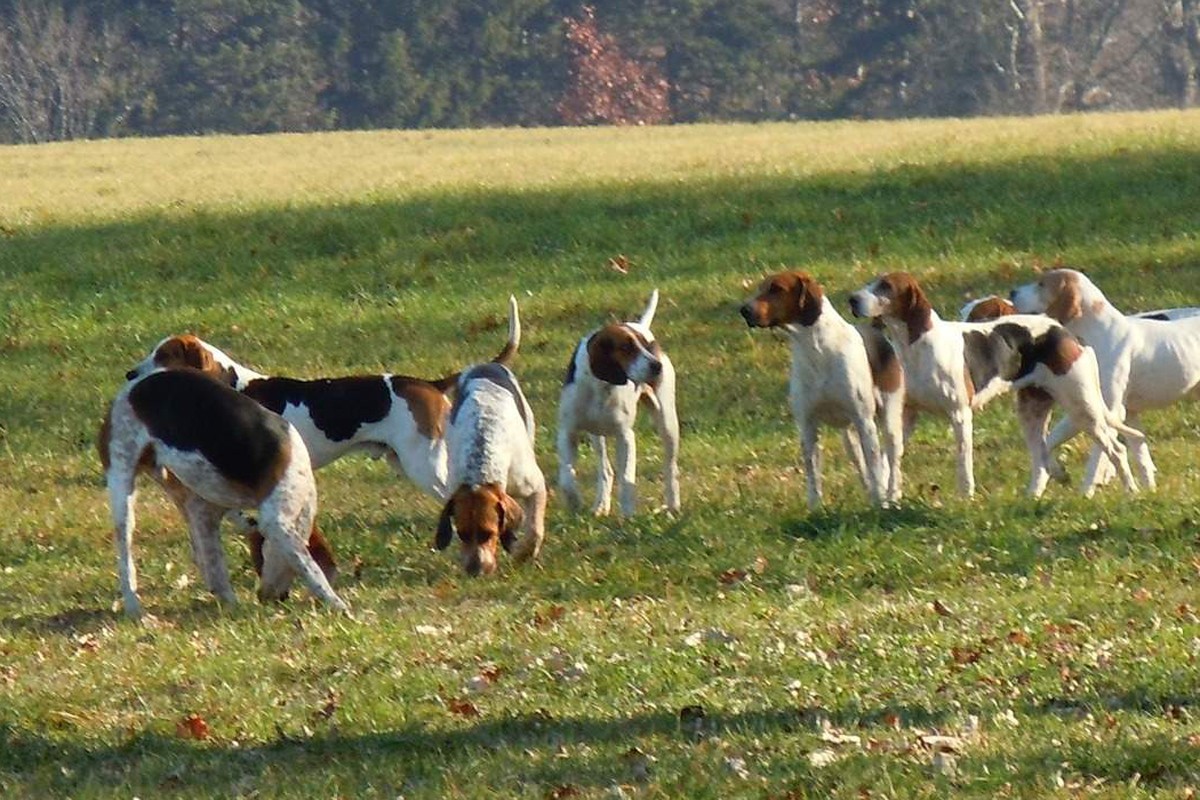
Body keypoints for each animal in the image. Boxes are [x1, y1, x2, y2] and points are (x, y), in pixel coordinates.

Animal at [556, 291, 681, 515]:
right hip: (597, 436)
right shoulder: (567, 432)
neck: (601, 386)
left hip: (667, 424)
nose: (656, 365)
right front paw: (574, 502)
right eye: (626, 347)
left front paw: (629, 515)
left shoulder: (625, 436)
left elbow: (626, 479)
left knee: (670, 467)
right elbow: (567, 477)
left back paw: (673, 506)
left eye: (647, 346)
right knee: (605, 470)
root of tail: (641, 325)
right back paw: (600, 505)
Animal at [739, 268, 902, 506]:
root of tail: (876, 332)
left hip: (888, 422)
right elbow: (813, 476)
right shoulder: (807, 426)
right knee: (862, 466)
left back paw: (892, 496)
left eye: (776, 289)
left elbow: (876, 468)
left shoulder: (864, 421)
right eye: (760, 288)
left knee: (890, 464)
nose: (744, 310)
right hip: (849, 437)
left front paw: (881, 504)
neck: (816, 349)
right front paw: (816, 509)